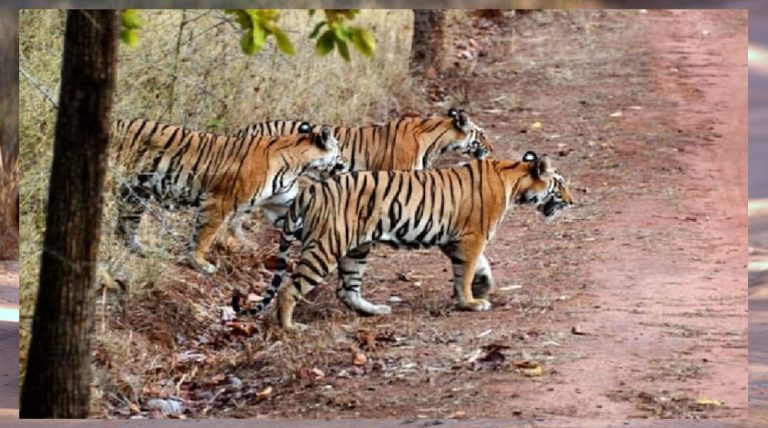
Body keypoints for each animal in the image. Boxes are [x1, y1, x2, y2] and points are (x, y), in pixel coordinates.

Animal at [109, 119, 344, 274]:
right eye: (339, 152)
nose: (343, 167)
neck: (298, 166)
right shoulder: (219, 202)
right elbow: (204, 235)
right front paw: (200, 263)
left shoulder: (282, 204)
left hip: (137, 192)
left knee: (126, 223)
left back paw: (139, 248)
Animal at [231, 151, 572, 332]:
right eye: (560, 184)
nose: (573, 201)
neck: (514, 180)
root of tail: (311, 190)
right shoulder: (472, 236)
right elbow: (467, 271)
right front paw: (471, 302)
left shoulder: (454, 239)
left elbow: (478, 267)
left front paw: (482, 286)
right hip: (326, 246)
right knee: (290, 288)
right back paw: (290, 326)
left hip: (357, 248)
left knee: (346, 289)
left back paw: (374, 310)